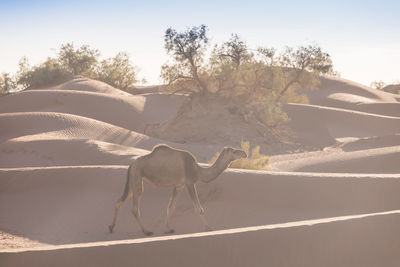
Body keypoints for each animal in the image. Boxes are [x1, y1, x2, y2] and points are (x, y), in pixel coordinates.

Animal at [109, 144, 247, 237]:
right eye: (234, 151)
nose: (244, 153)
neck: (198, 170)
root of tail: (131, 165)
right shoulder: (190, 182)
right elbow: (199, 209)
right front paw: (209, 228)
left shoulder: (179, 186)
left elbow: (171, 207)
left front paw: (168, 229)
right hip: (137, 175)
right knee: (134, 207)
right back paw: (147, 231)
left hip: (133, 179)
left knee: (119, 201)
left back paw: (111, 227)